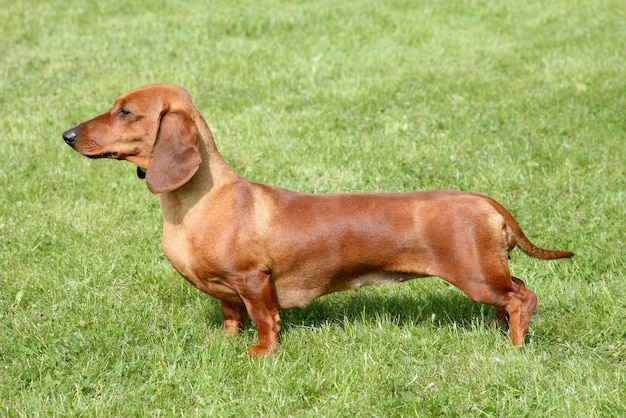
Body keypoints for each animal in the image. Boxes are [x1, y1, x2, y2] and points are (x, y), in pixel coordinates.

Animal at [62, 84, 572, 356]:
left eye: (125, 110)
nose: (66, 134)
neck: (200, 203)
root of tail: (486, 201)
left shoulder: (253, 280)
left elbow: (264, 319)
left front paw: (260, 353)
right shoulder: (228, 292)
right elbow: (231, 315)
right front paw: (227, 341)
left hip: (475, 274)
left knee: (524, 296)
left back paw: (515, 345)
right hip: (487, 271)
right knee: (514, 293)